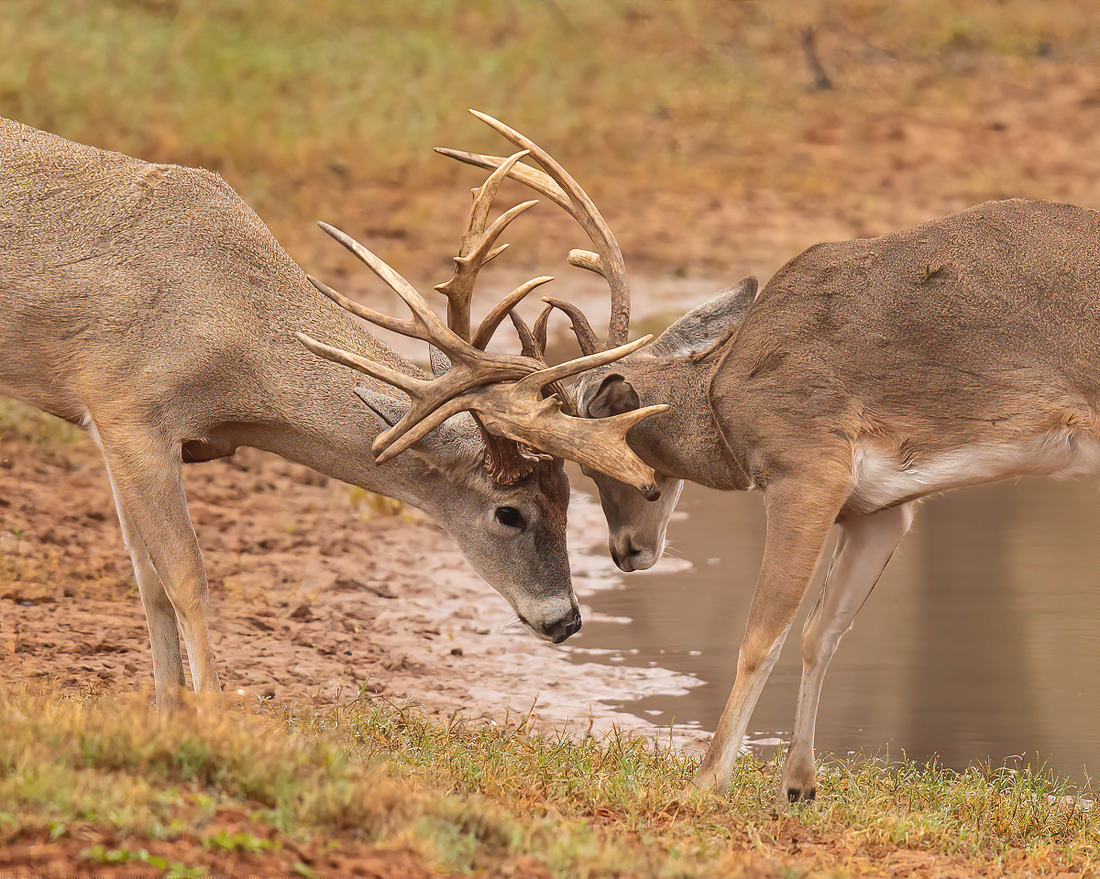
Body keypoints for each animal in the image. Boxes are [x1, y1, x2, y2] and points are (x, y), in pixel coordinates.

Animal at [0, 113, 660, 712]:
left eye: (569, 500)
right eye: (509, 513)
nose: (566, 620)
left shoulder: (117, 428)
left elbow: (148, 582)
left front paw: (167, 712)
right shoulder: (126, 406)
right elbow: (186, 578)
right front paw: (211, 715)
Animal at [440, 120, 1100, 809]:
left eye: (608, 470)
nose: (626, 553)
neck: (724, 394)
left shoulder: (807, 466)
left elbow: (761, 636)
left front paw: (706, 782)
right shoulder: (880, 508)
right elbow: (821, 633)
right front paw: (798, 784)